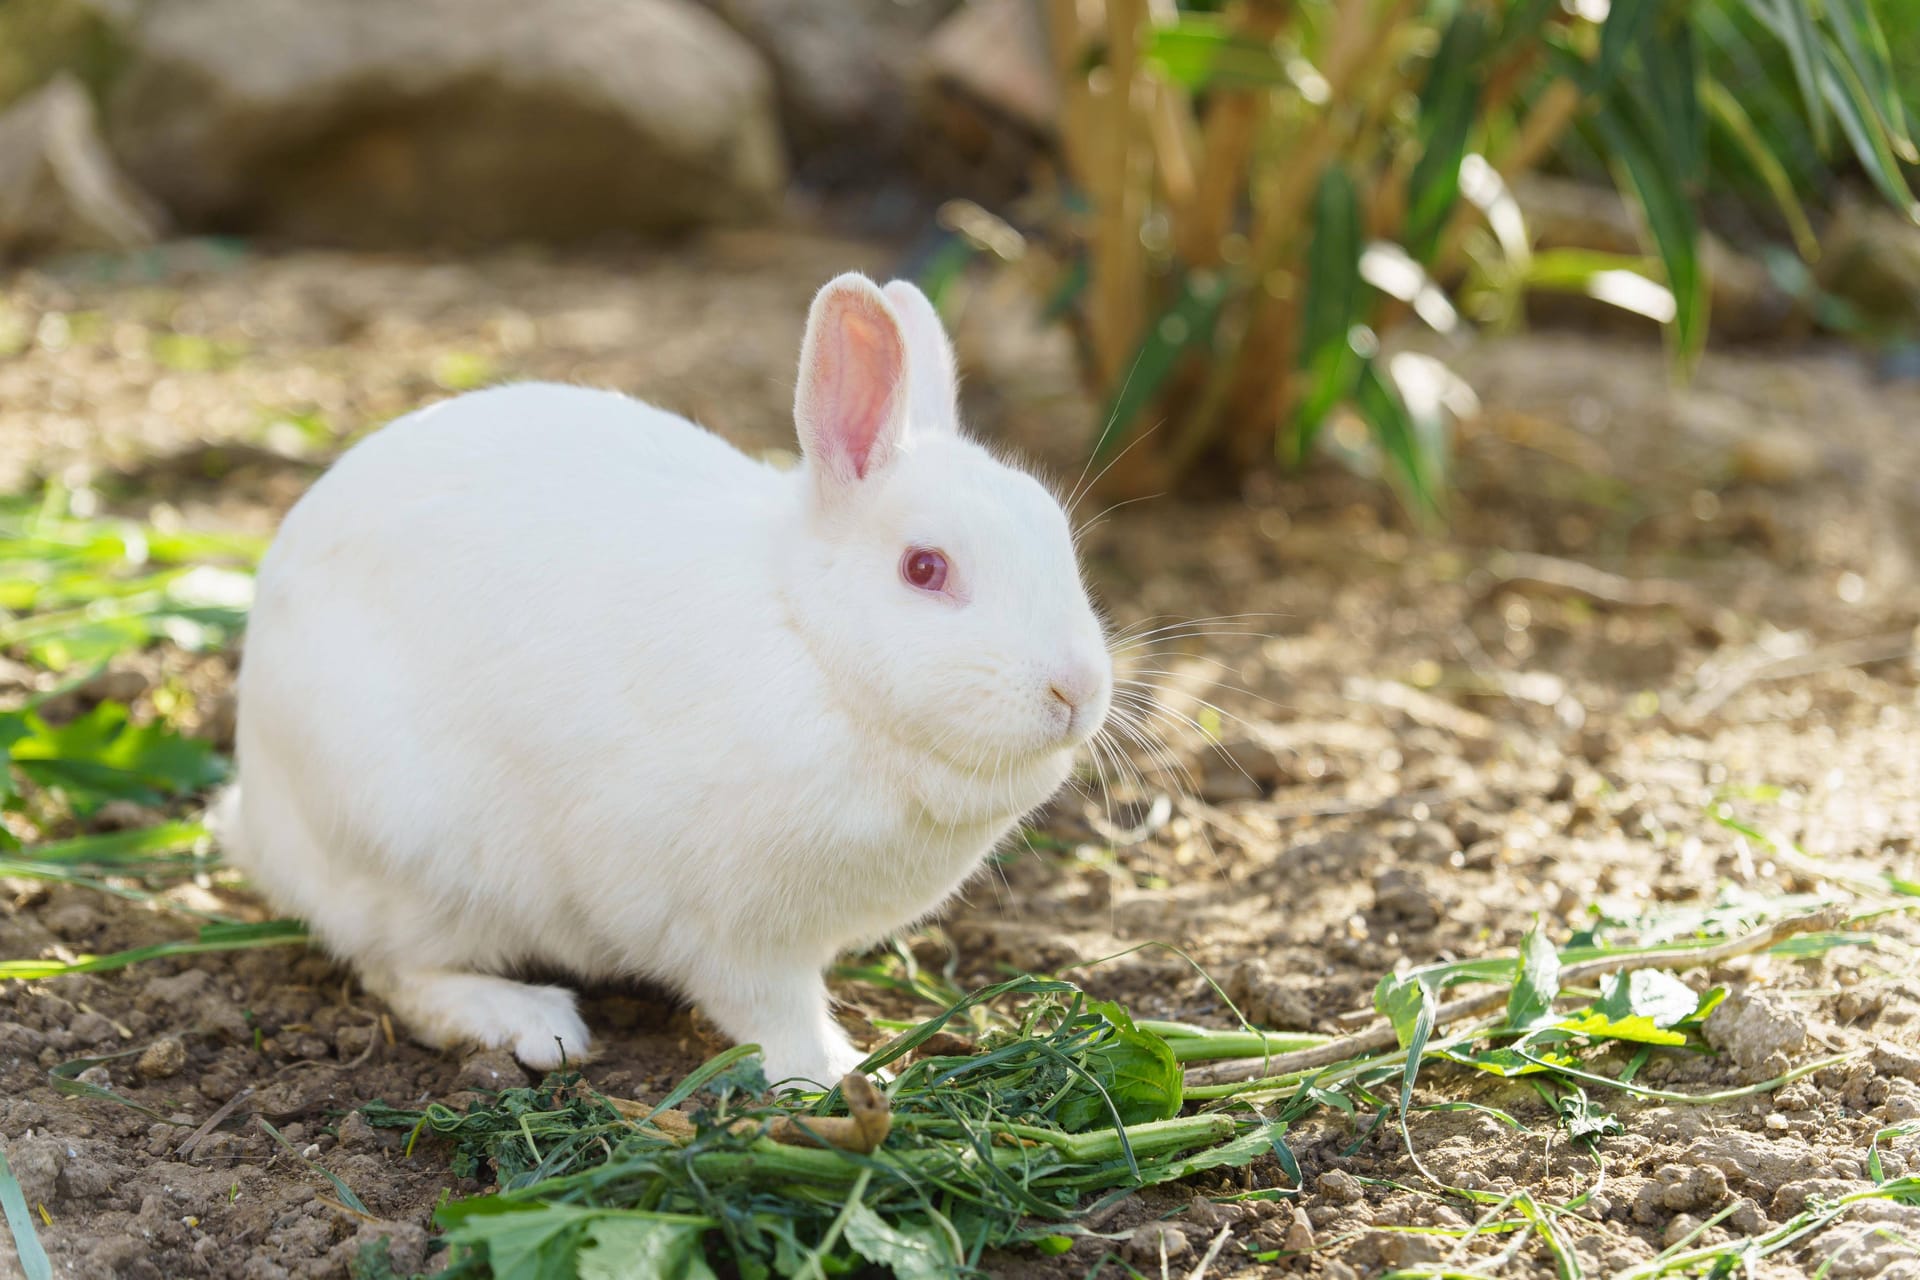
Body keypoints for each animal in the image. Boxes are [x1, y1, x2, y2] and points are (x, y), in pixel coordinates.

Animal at [219, 276, 1121, 1090]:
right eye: (924, 568)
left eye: (1057, 534)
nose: (1076, 692)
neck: (811, 646)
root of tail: (259, 816)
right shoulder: (732, 930)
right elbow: (772, 1009)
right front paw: (836, 1075)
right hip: (414, 852)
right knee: (397, 970)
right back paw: (530, 1023)